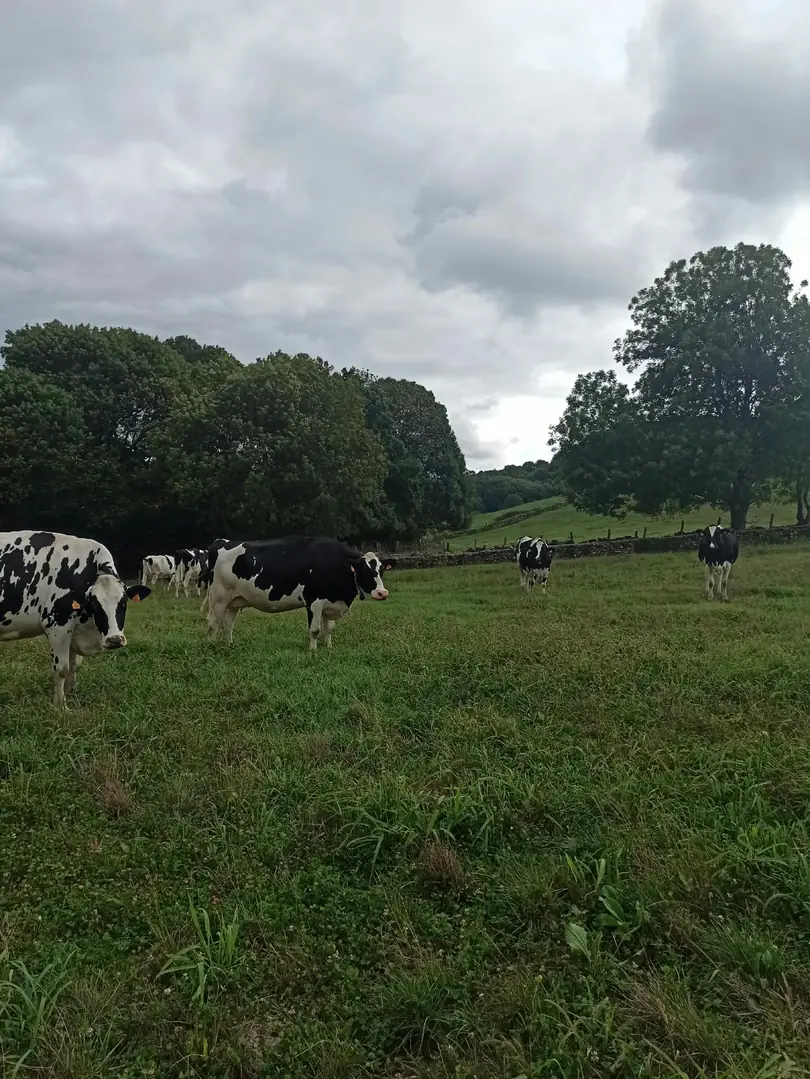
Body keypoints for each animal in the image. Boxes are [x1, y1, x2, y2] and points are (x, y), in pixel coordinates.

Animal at [0, 531, 150, 709]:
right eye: (94, 604)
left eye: (123, 602)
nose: (114, 640)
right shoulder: (57, 626)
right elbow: (62, 669)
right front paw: (61, 706)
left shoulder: (73, 630)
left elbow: (74, 666)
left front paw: (69, 696)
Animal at [204, 536, 396, 650]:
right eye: (366, 570)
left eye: (381, 570)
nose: (382, 593)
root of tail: (222, 542)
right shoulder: (314, 602)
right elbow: (315, 629)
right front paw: (313, 651)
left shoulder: (331, 603)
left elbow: (329, 629)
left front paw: (328, 647)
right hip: (218, 596)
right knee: (213, 622)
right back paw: (211, 646)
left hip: (235, 600)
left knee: (228, 624)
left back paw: (228, 644)